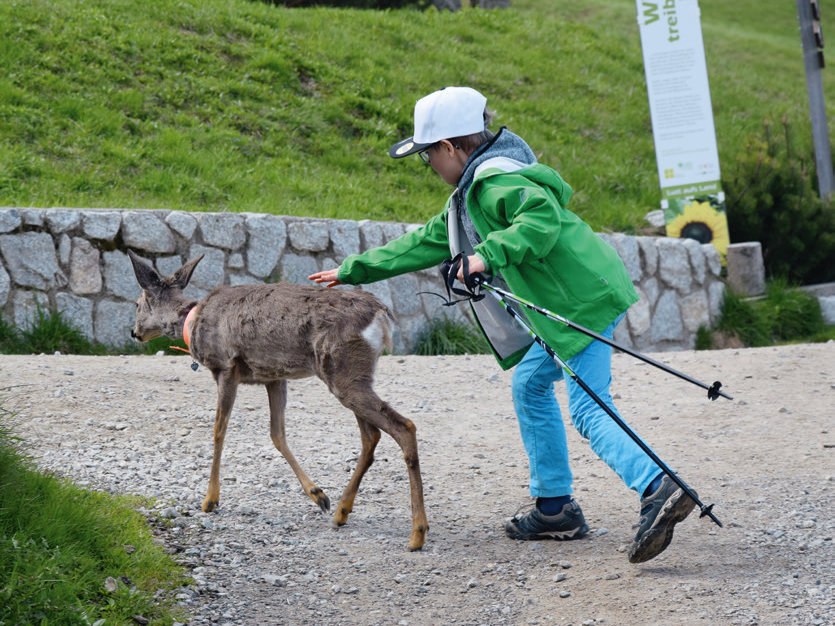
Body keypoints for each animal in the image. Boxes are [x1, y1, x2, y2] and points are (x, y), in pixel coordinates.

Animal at [129, 250, 432, 552]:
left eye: (137, 304)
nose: (134, 333)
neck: (191, 322)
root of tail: (383, 315)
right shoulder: (274, 377)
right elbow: (277, 434)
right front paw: (318, 494)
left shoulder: (226, 367)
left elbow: (218, 431)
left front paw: (210, 500)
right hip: (353, 374)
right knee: (371, 436)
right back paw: (341, 512)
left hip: (343, 371)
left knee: (404, 427)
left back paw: (417, 533)